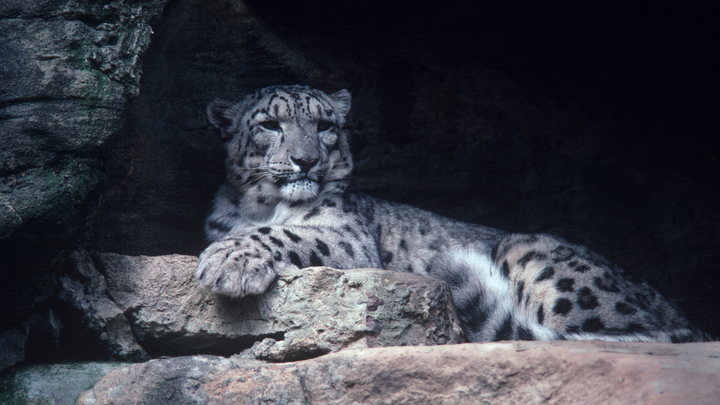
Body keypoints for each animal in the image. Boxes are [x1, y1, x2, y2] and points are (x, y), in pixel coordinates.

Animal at [195, 84, 704, 340]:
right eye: (269, 124)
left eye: (324, 125)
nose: (305, 160)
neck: (259, 206)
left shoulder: (346, 236)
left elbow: (285, 234)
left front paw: (227, 264)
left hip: (539, 261)